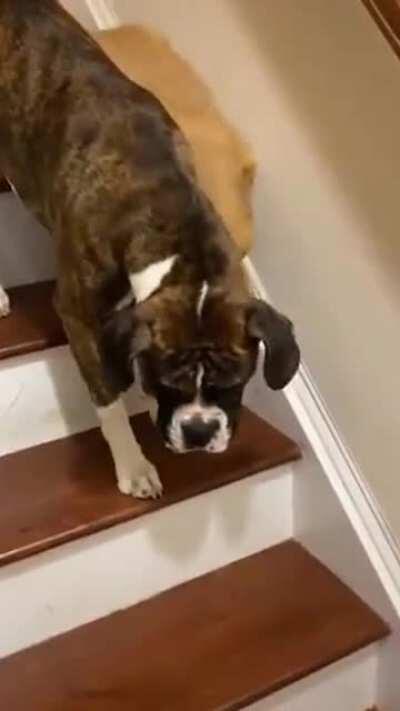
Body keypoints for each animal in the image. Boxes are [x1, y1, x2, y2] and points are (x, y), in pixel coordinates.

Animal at [0, 1, 298, 500]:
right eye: (164, 380)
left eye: (235, 382)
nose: (199, 431)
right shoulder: (78, 315)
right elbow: (108, 399)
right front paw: (133, 465)